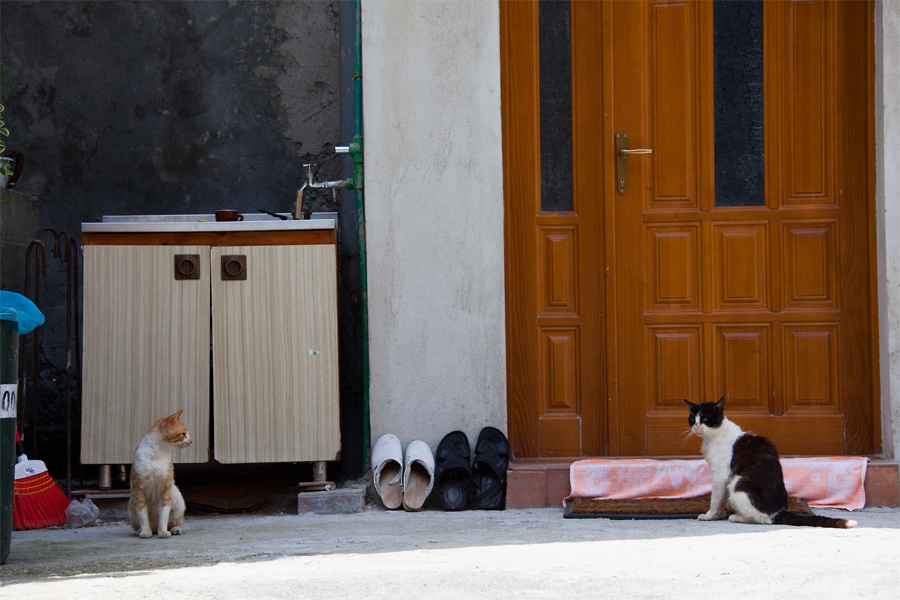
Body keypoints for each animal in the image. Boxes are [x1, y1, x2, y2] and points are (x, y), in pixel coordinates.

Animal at [684, 398, 856, 528]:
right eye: (692, 419)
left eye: (705, 419)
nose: (697, 427)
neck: (714, 435)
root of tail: (778, 511)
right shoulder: (725, 478)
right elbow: (722, 499)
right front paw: (719, 515)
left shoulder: (721, 475)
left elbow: (715, 498)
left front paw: (709, 515)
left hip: (738, 484)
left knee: (763, 519)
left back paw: (737, 517)